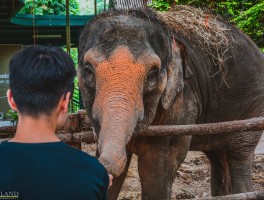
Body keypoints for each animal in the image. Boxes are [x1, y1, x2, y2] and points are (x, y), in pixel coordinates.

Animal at [77, 5, 264, 200]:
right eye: (89, 72)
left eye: (152, 75)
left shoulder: (181, 103)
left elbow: (155, 171)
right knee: (218, 156)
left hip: (253, 107)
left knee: (239, 152)